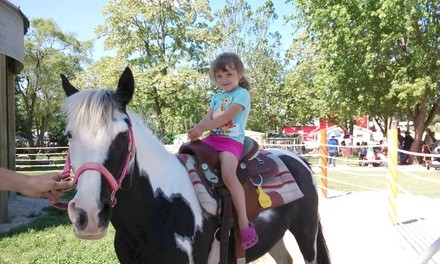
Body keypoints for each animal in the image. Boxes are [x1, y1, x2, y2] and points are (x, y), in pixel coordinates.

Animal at [61, 68, 330, 264]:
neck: (158, 207)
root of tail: (298, 160)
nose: (88, 214)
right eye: (69, 136)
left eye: (123, 135)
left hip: (306, 234)